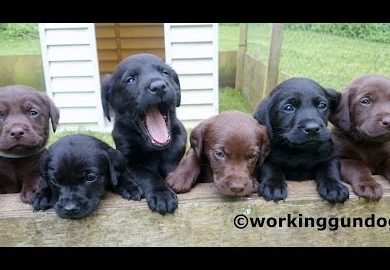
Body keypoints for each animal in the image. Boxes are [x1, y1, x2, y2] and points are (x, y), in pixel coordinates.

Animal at [100, 53, 186, 215]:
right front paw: (162, 194)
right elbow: (147, 173)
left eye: (165, 73)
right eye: (130, 79)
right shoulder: (128, 162)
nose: (159, 87)